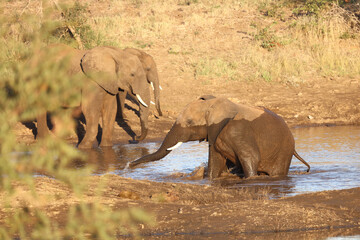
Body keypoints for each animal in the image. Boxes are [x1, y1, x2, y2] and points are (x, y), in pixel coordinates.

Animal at [129, 95, 310, 178]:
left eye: (189, 122)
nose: (130, 165)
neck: (213, 104)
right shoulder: (215, 135)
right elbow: (215, 162)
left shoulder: (238, 131)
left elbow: (252, 157)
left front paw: (251, 179)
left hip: (284, 152)